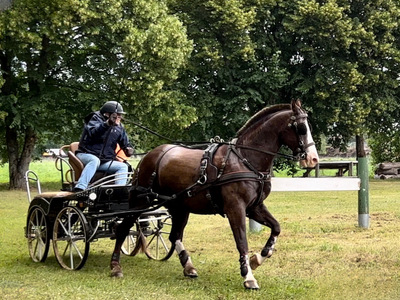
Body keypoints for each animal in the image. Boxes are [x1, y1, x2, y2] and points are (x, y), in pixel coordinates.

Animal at [109, 99, 318, 290]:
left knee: (174, 236)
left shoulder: (254, 207)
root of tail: (149, 156)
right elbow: (242, 241)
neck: (245, 160)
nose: (313, 159)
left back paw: (188, 267)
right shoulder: (235, 208)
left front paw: (256, 259)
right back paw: (115, 266)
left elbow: (276, 228)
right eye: (301, 128)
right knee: (123, 229)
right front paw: (248, 276)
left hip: (179, 206)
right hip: (141, 201)